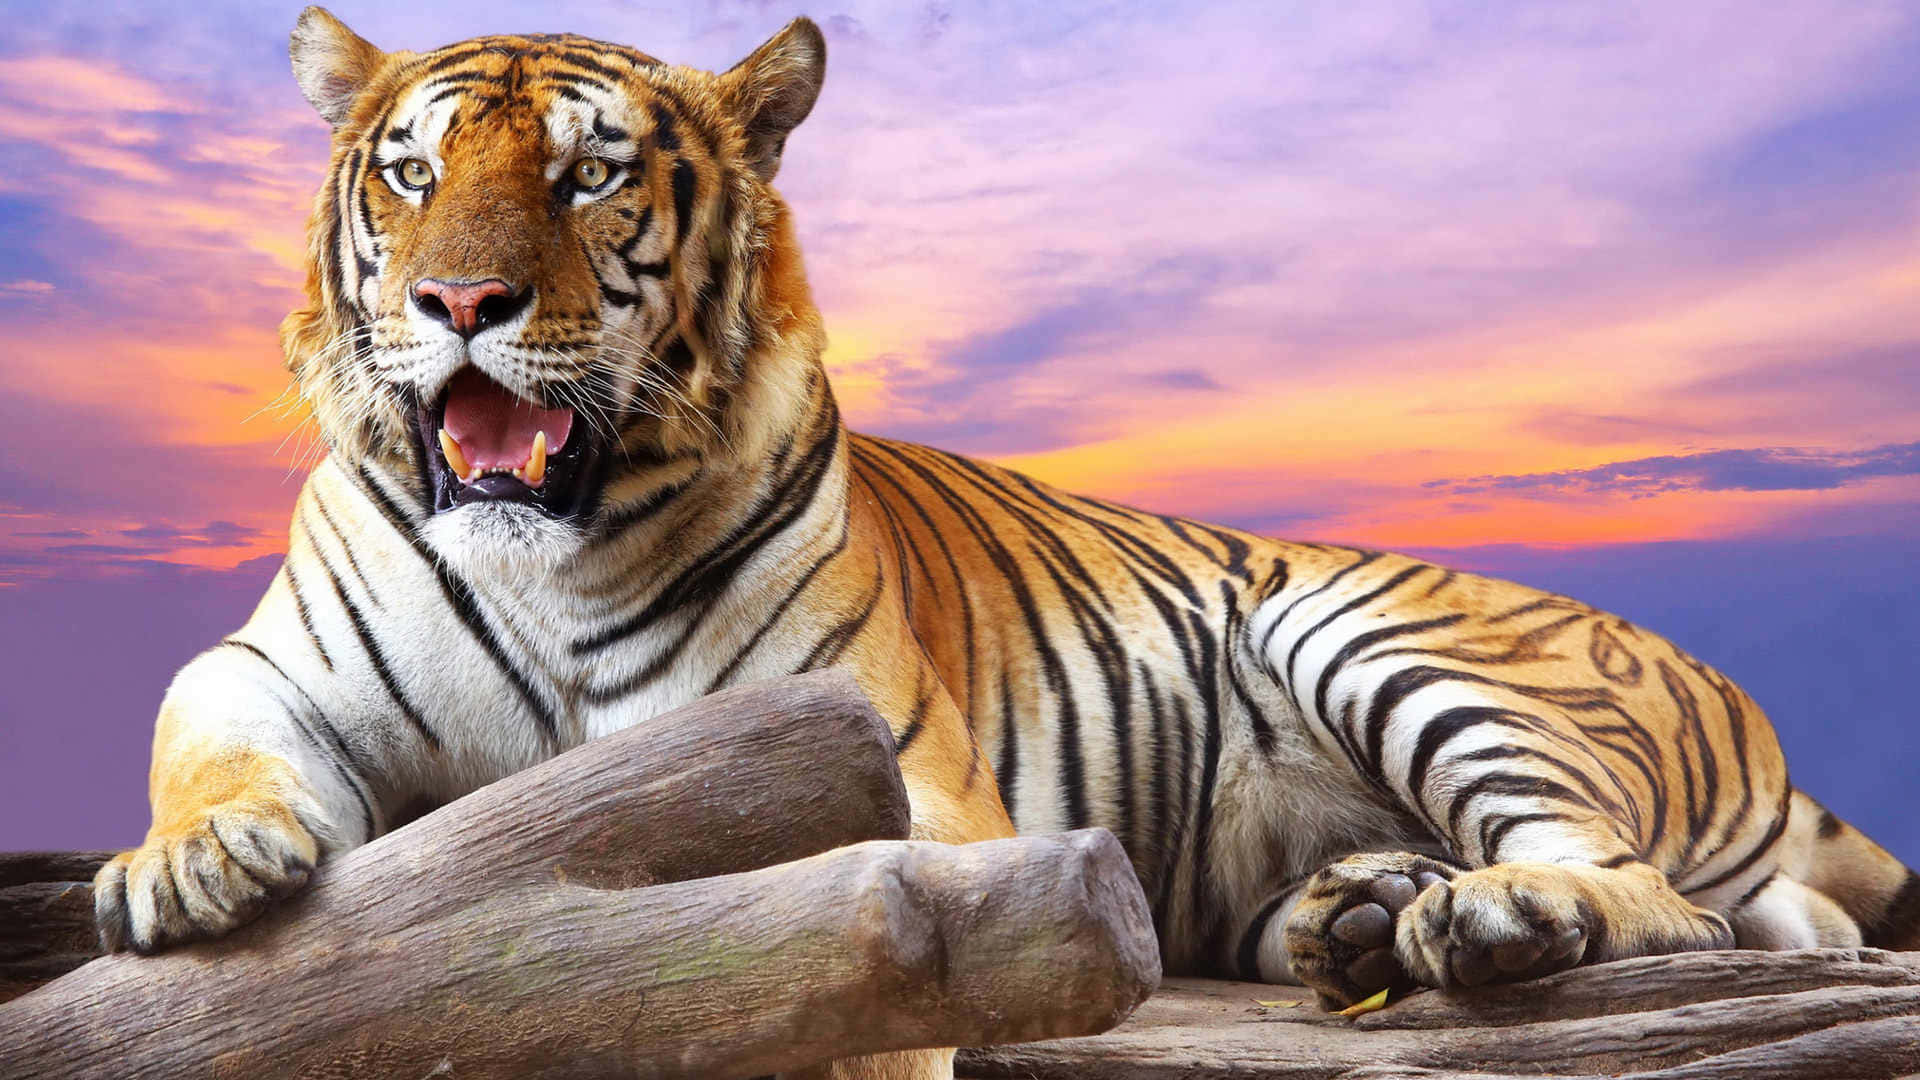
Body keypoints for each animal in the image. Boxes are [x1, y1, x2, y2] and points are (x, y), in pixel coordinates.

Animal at [93, 7, 1919, 1079]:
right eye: (409, 174)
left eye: (589, 174)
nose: (456, 303)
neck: (541, 545)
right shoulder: (276, 659)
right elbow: (207, 729)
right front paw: (192, 867)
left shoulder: (889, 780)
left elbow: (853, 962)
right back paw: (1359, 916)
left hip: (1376, 635)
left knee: (1662, 900)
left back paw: (1487, 922)